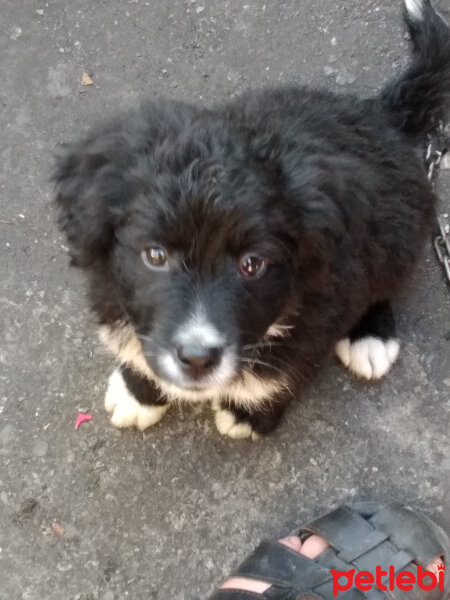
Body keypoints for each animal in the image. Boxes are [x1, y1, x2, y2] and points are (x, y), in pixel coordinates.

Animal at [53, 1, 450, 440]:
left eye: (252, 264)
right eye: (154, 255)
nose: (197, 358)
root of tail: (377, 115)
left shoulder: (318, 310)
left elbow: (282, 373)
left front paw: (247, 414)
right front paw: (138, 393)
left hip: (398, 229)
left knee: (383, 282)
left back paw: (371, 335)